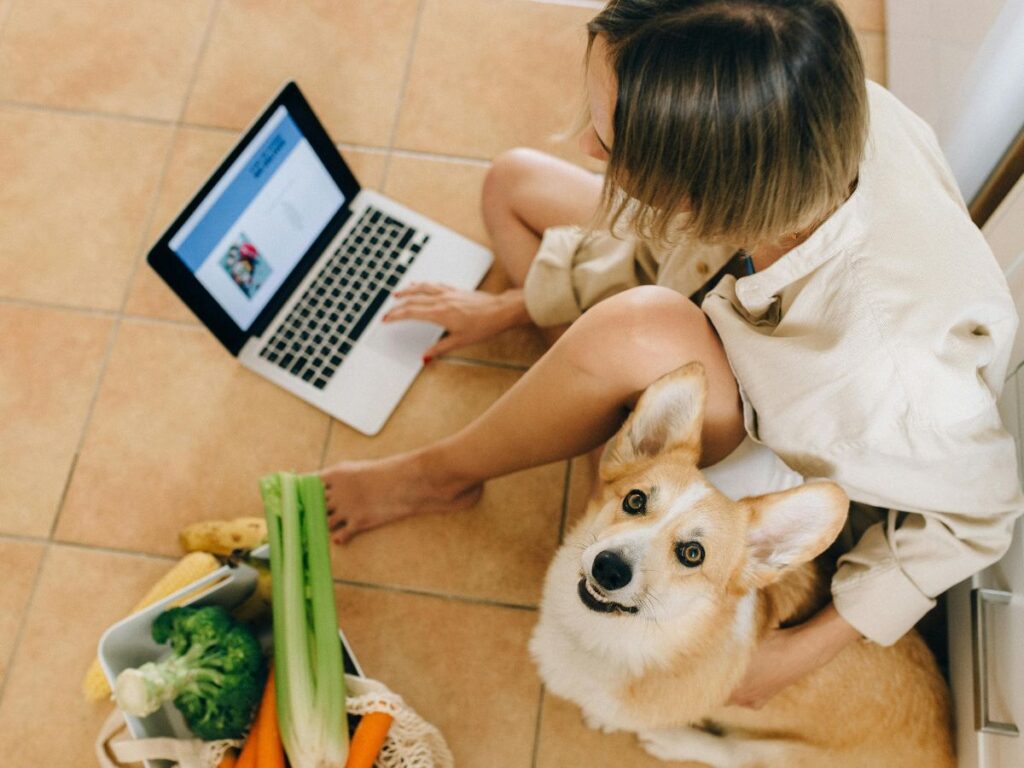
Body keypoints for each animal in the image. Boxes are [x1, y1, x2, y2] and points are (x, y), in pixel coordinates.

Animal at [532, 364, 954, 765]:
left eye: (693, 554)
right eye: (634, 501)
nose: (609, 568)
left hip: (785, 755)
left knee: (737, 754)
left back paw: (672, 741)